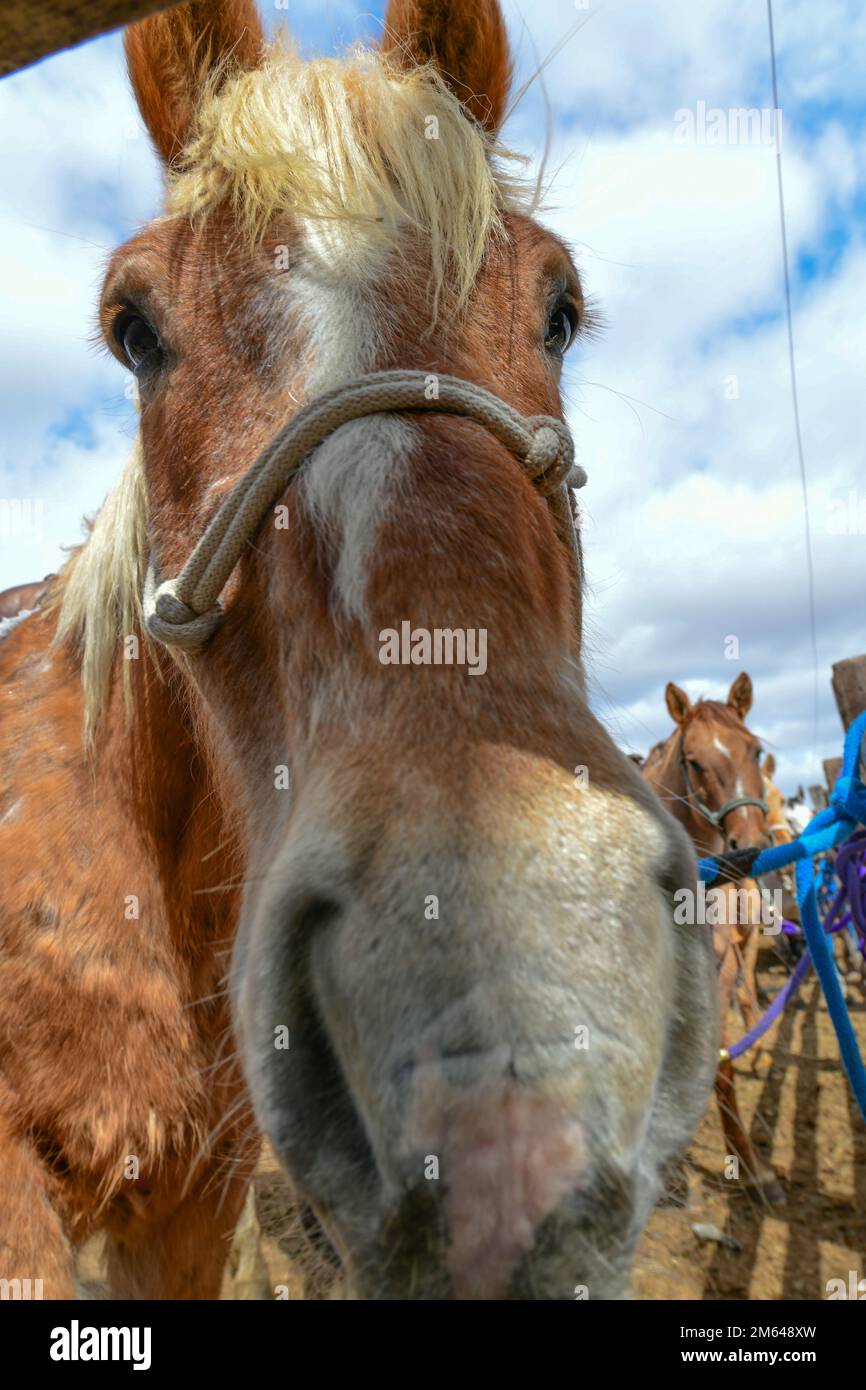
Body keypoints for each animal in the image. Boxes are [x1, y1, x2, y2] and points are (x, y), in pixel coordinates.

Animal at [643, 673, 784, 1203]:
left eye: (754, 749)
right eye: (693, 760)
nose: (749, 848)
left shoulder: (719, 970)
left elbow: (717, 1065)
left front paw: (751, 1167)